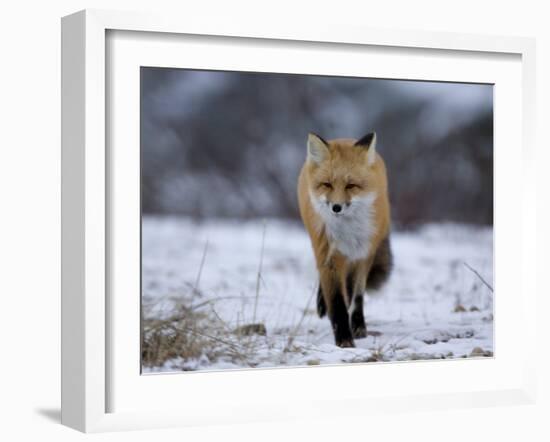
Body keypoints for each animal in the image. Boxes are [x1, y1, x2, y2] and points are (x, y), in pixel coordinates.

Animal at [300, 133, 394, 348]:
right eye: (327, 184)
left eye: (351, 186)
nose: (336, 207)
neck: (347, 231)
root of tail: (343, 138)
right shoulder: (328, 252)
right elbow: (337, 301)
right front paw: (344, 339)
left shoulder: (363, 253)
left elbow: (355, 295)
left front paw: (355, 329)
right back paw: (322, 304)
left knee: (355, 293)